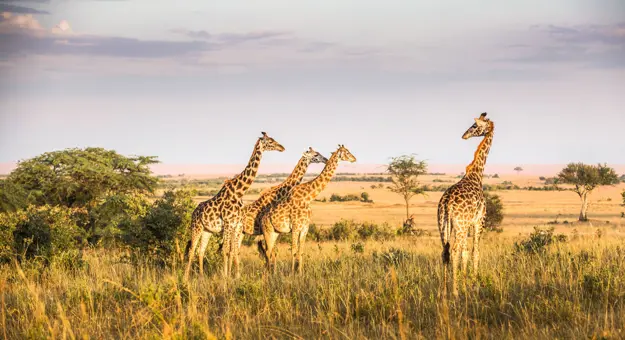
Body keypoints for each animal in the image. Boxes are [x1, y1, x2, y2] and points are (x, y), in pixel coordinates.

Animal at [184, 131, 284, 280]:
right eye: (270, 141)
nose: (282, 147)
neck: (239, 192)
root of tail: (193, 212)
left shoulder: (237, 225)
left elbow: (234, 250)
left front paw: (236, 276)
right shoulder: (228, 224)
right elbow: (226, 250)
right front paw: (225, 276)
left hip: (207, 230)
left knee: (201, 251)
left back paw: (201, 277)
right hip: (196, 227)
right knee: (192, 249)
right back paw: (185, 277)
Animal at [258, 145, 356, 274]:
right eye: (346, 152)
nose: (354, 158)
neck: (308, 197)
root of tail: (262, 219)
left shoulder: (305, 227)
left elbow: (301, 251)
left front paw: (300, 273)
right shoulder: (295, 227)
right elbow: (294, 250)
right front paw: (291, 273)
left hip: (275, 232)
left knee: (270, 251)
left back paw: (272, 273)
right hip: (267, 231)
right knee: (268, 251)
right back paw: (269, 274)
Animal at [436, 113, 494, 296]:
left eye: (474, 126)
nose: (464, 135)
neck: (477, 174)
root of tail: (447, 203)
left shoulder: (467, 224)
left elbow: (465, 253)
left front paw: (465, 284)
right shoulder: (479, 221)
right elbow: (475, 252)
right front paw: (473, 285)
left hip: (443, 224)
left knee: (445, 252)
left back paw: (444, 291)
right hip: (460, 225)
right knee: (454, 251)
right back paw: (454, 292)